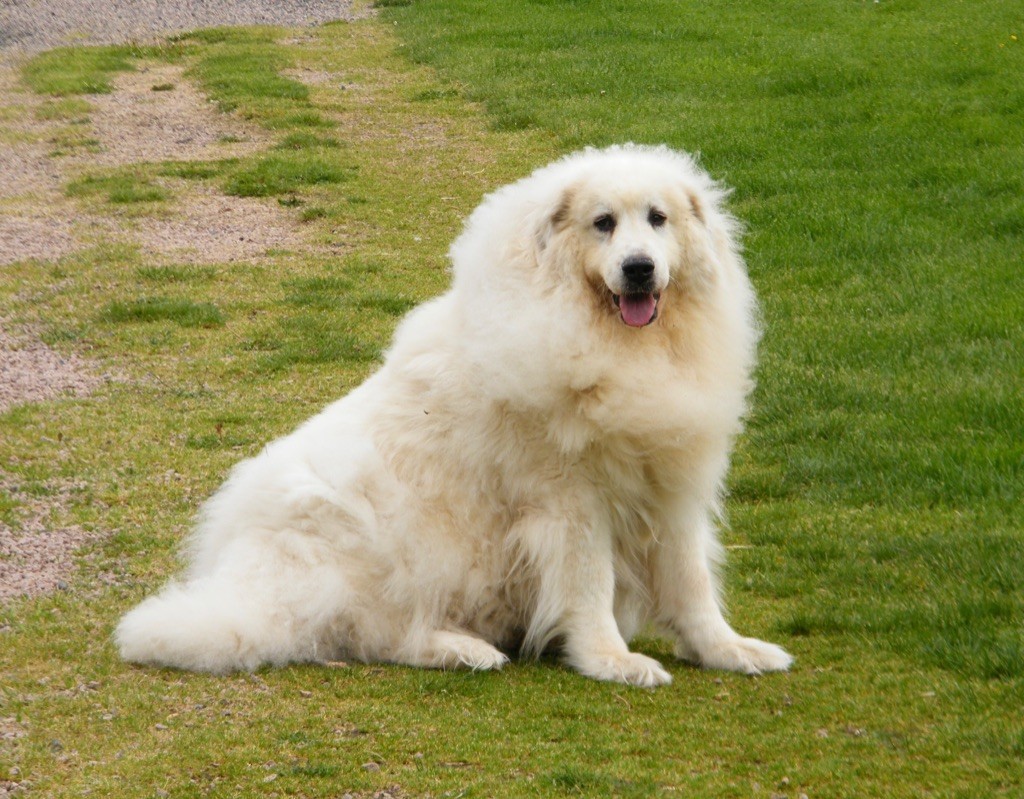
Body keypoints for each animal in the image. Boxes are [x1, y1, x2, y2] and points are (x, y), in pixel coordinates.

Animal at [117, 143, 790, 688]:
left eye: (658, 219)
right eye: (603, 224)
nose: (639, 268)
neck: (613, 344)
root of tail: (236, 576)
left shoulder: (670, 484)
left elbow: (692, 582)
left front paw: (728, 650)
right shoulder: (571, 502)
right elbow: (589, 584)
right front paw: (611, 660)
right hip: (392, 535)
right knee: (378, 633)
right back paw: (463, 650)